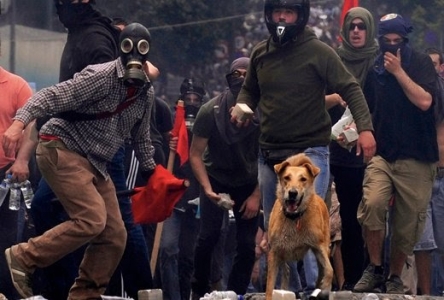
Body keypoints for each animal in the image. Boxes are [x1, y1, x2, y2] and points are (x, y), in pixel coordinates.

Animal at [266, 154, 332, 298]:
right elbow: (270, 285)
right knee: (286, 271)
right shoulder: (275, 251)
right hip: (282, 252)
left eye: (303, 179)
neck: (294, 218)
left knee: (321, 269)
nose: (292, 193)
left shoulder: (318, 246)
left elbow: (329, 269)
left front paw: (325, 285)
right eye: (286, 177)